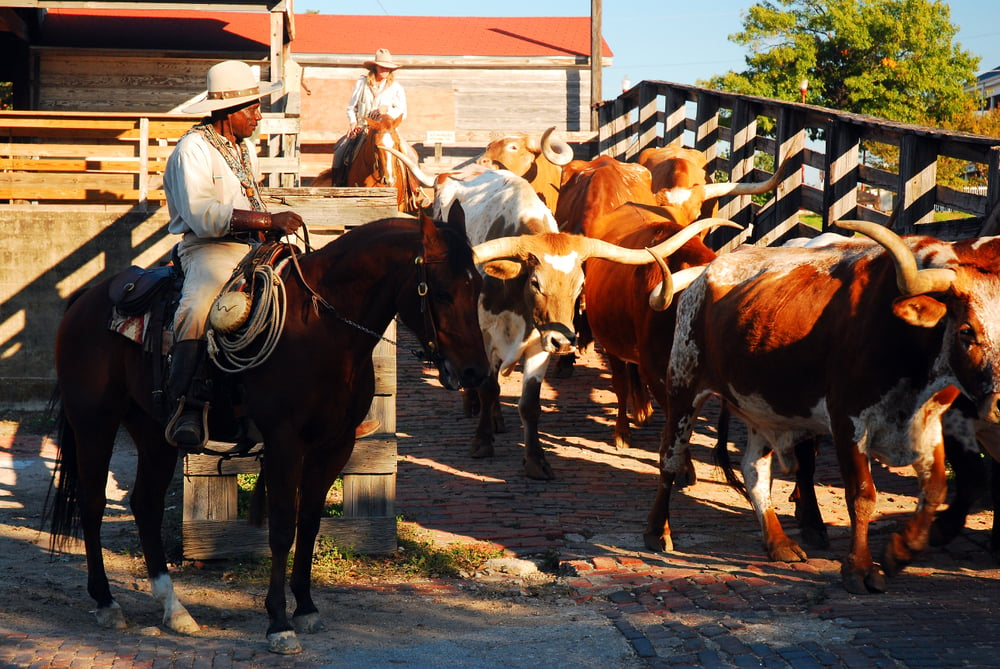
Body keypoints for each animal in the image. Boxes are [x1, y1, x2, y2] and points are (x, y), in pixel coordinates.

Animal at [47, 207, 492, 652]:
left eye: (478, 289)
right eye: (442, 292)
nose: (476, 372)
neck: (321, 329)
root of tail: (85, 299)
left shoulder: (334, 446)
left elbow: (308, 523)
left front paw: (306, 608)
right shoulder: (284, 443)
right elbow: (280, 529)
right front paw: (279, 622)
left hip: (154, 432)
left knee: (145, 505)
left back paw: (174, 609)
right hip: (94, 423)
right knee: (92, 503)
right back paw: (106, 601)